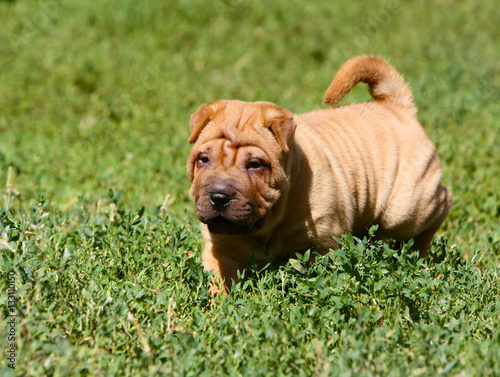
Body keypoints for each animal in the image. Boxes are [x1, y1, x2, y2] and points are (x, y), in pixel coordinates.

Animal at [188, 54, 454, 292]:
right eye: (204, 160)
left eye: (255, 164)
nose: (219, 197)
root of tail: (395, 105)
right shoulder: (221, 249)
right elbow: (219, 281)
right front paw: (219, 307)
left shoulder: (325, 241)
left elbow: (322, 276)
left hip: (405, 210)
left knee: (438, 208)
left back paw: (418, 255)